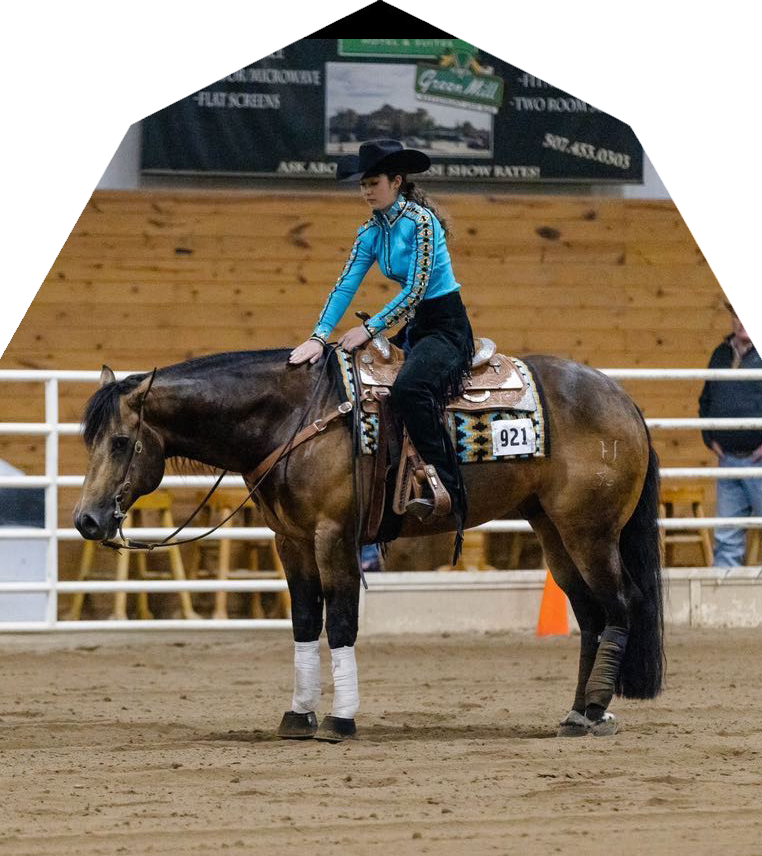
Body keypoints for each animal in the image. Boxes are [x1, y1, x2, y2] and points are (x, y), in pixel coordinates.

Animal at [74, 348, 664, 742]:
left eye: (122, 442)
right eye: (90, 440)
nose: (87, 520)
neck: (295, 418)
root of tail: (623, 400)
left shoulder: (333, 535)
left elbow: (340, 623)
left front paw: (340, 719)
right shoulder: (290, 541)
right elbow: (305, 622)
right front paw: (299, 715)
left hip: (590, 531)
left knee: (620, 604)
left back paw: (595, 711)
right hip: (552, 529)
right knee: (590, 615)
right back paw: (579, 713)